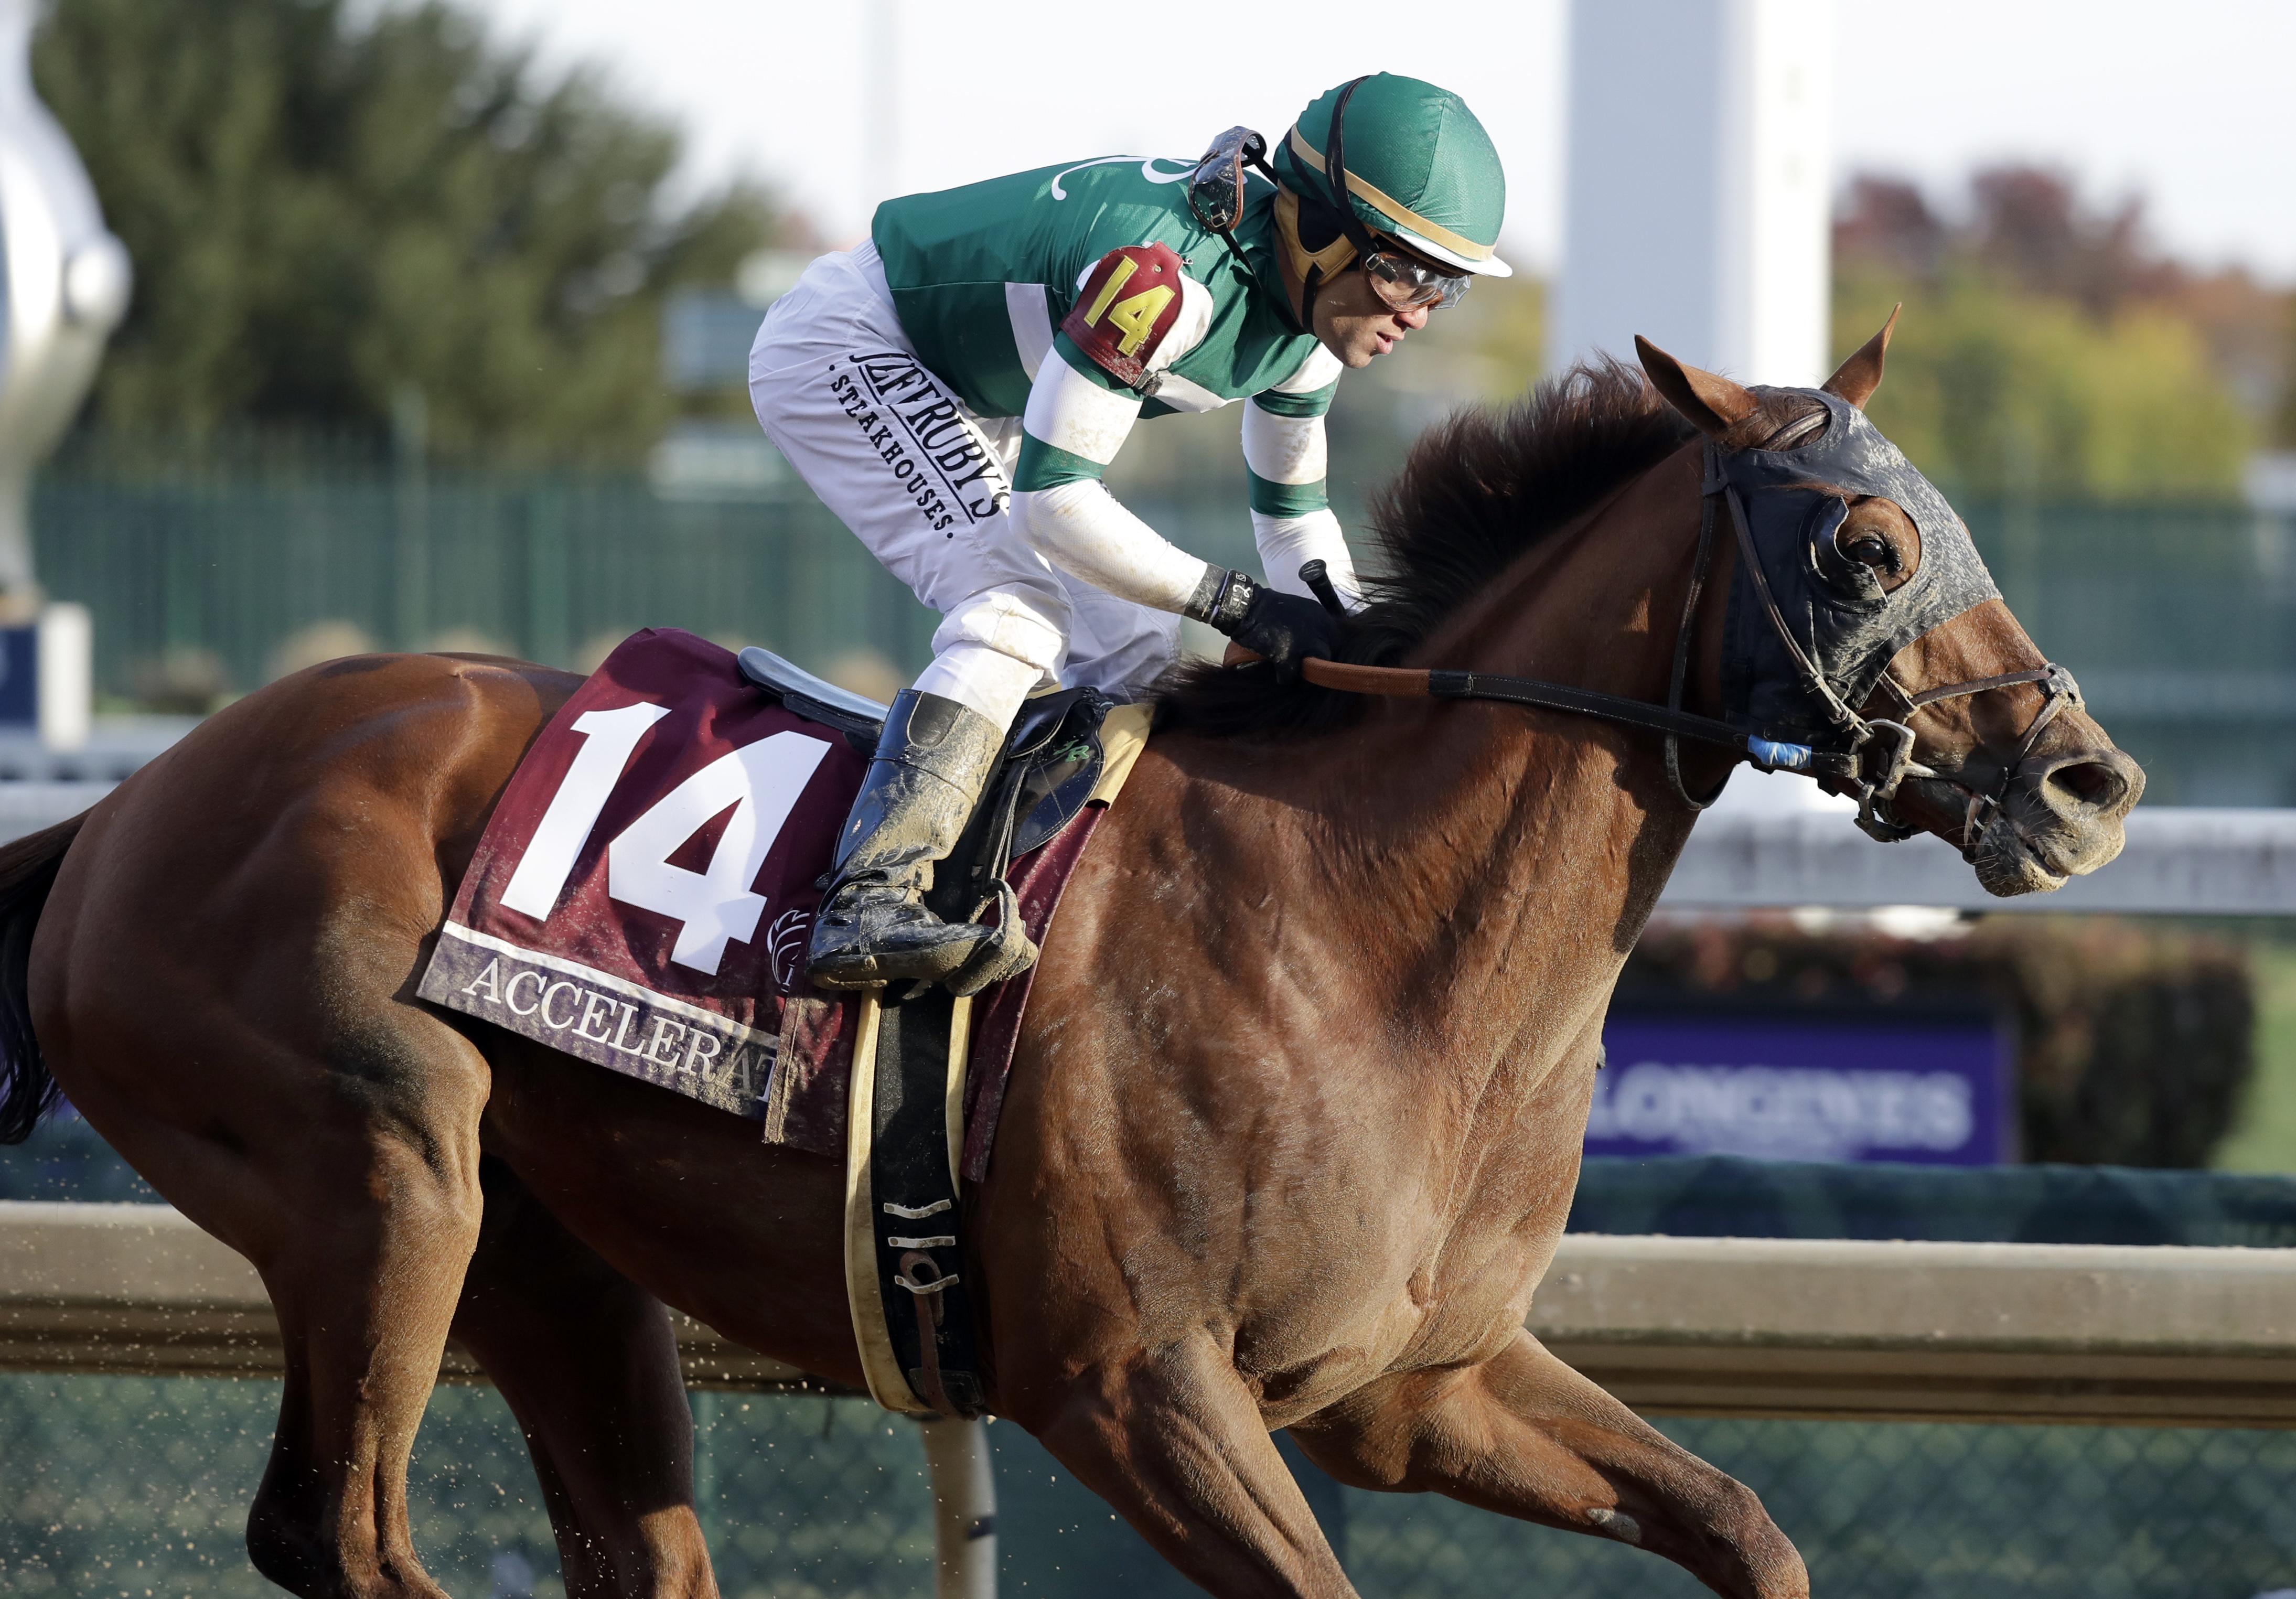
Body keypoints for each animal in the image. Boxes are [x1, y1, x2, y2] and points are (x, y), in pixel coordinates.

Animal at [0, 329, 2140, 1599]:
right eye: (1864, 547)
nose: (2088, 780)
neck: (1367, 930)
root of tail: (122, 809)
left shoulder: (1409, 1379)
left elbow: (1747, 1524)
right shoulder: (1131, 1387)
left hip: (552, 1258)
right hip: (380, 1174)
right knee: (344, 1534)